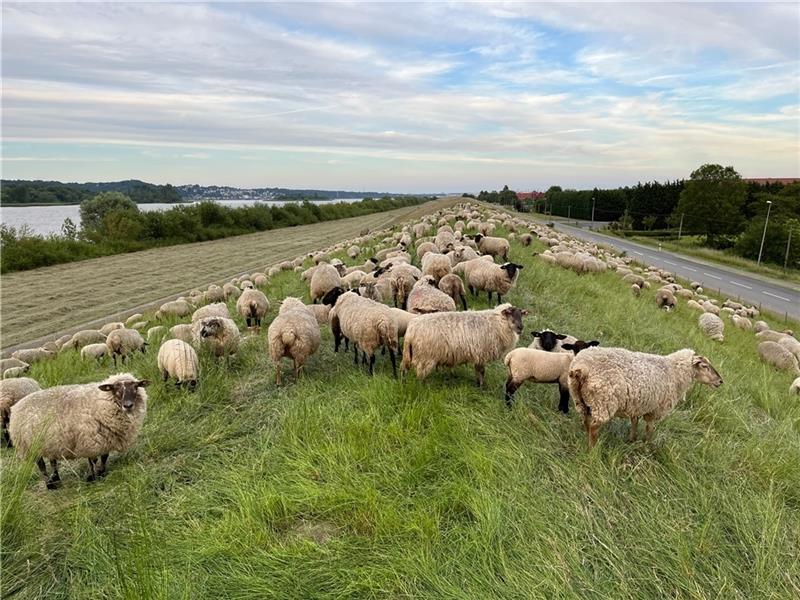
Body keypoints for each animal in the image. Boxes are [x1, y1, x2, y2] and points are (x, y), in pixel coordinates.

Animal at [8, 372, 148, 490]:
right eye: (116, 390)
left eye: (135, 388)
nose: (128, 405)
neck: (100, 402)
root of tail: (16, 407)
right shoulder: (90, 440)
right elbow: (93, 460)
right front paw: (93, 477)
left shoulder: (106, 437)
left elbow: (104, 456)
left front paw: (101, 472)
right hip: (29, 445)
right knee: (41, 465)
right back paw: (49, 484)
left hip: (49, 442)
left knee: (53, 461)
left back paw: (56, 479)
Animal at [564, 344, 720, 448]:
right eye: (705, 366)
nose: (720, 381)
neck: (673, 371)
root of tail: (582, 368)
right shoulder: (655, 409)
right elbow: (649, 428)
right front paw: (647, 445)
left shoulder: (637, 404)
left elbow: (634, 422)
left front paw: (632, 439)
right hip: (604, 402)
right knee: (594, 427)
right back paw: (593, 450)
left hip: (580, 400)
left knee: (586, 421)